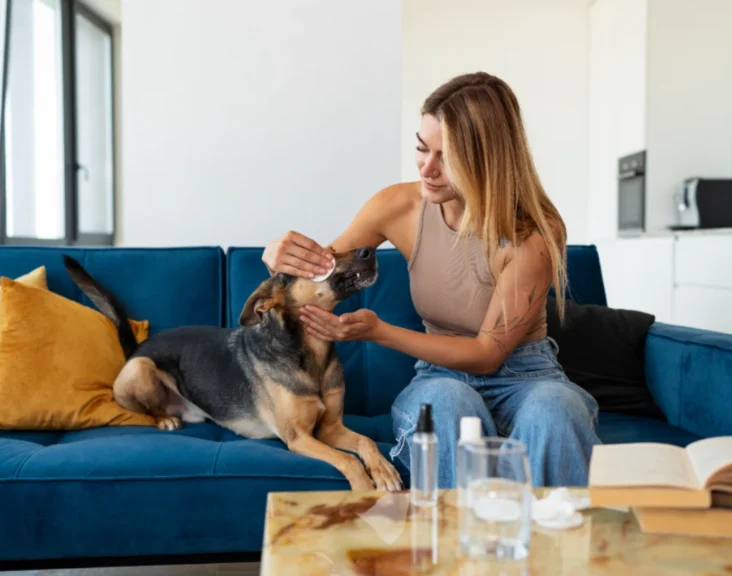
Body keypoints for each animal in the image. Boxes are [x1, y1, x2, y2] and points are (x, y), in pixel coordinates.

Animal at [64, 248, 400, 490]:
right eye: (323, 256)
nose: (369, 250)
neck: (310, 351)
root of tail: (136, 348)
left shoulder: (329, 428)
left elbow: (367, 442)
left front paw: (383, 470)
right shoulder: (299, 438)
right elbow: (347, 460)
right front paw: (364, 488)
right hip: (140, 368)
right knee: (149, 407)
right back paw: (164, 419)